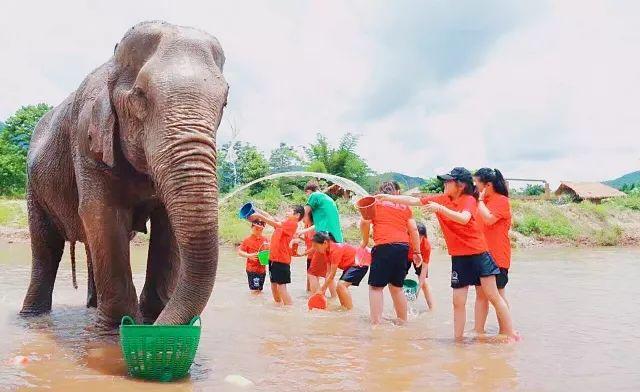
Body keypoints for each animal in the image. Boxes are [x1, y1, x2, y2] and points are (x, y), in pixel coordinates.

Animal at [20, 20, 229, 328]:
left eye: (225, 102)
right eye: (140, 96)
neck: (113, 64)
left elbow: (167, 224)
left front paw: (152, 314)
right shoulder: (85, 140)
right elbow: (102, 212)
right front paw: (120, 326)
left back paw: (92, 308)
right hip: (33, 188)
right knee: (46, 248)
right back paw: (31, 317)